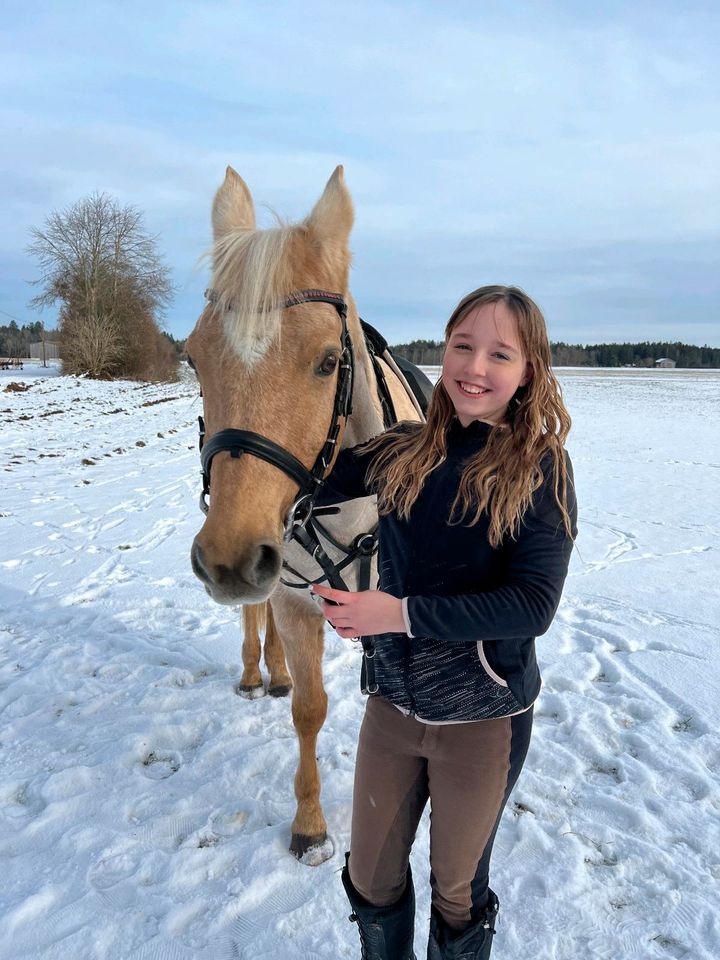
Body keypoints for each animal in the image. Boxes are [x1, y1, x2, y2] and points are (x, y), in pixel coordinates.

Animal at [187, 165, 422, 864]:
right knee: (254, 617)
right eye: (193, 357)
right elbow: (311, 711)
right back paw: (257, 672)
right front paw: (312, 825)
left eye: (327, 360)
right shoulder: (291, 597)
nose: (231, 559)